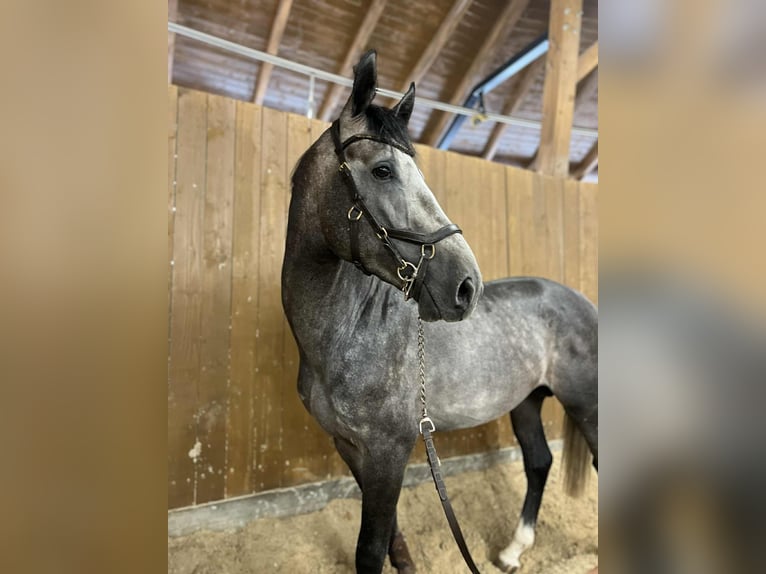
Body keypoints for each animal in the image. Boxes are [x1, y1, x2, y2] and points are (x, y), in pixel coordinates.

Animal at [281, 50, 598, 573]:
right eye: (383, 171)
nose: (468, 286)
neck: (344, 336)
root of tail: (582, 301)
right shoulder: (352, 448)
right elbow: (390, 532)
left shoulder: (388, 451)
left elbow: (370, 548)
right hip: (527, 401)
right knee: (538, 462)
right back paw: (512, 550)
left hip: (586, 405)